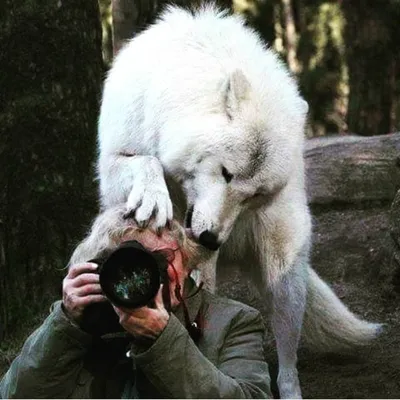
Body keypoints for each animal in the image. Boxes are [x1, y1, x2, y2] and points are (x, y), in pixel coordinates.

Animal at [97, 4, 382, 398]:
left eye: (254, 195)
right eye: (226, 173)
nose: (211, 240)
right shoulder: (115, 157)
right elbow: (146, 161)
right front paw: (154, 198)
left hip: (284, 277)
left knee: (287, 360)